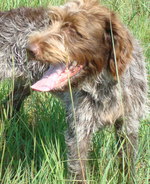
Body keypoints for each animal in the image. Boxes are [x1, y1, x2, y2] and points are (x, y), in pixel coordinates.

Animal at [21, 0, 148, 183]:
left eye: (73, 30)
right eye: (51, 22)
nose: (29, 49)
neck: (104, 85)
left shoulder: (128, 124)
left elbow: (126, 165)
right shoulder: (79, 132)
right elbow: (78, 169)